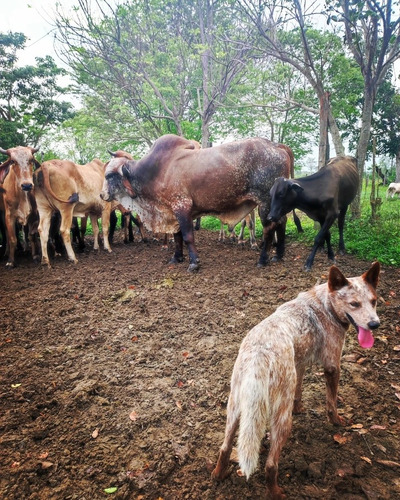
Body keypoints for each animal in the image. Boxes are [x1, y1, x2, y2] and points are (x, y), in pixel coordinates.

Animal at [100, 134, 294, 270]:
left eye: (109, 175)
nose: (102, 195)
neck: (155, 171)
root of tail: (276, 145)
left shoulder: (182, 206)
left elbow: (187, 236)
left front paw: (194, 262)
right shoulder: (173, 211)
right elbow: (177, 236)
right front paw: (176, 258)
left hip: (265, 202)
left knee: (269, 228)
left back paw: (263, 259)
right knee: (282, 222)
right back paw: (278, 255)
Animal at [211, 262, 380, 500]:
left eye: (374, 301)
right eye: (354, 304)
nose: (375, 324)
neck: (326, 306)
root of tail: (259, 356)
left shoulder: (299, 362)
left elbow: (299, 388)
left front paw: (299, 407)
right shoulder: (332, 365)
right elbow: (332, 402)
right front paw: (337, 421)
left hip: (235, 408)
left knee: (225, 447)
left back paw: (218, 475)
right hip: (281, 419)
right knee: (270, 465)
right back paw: (276, 493)